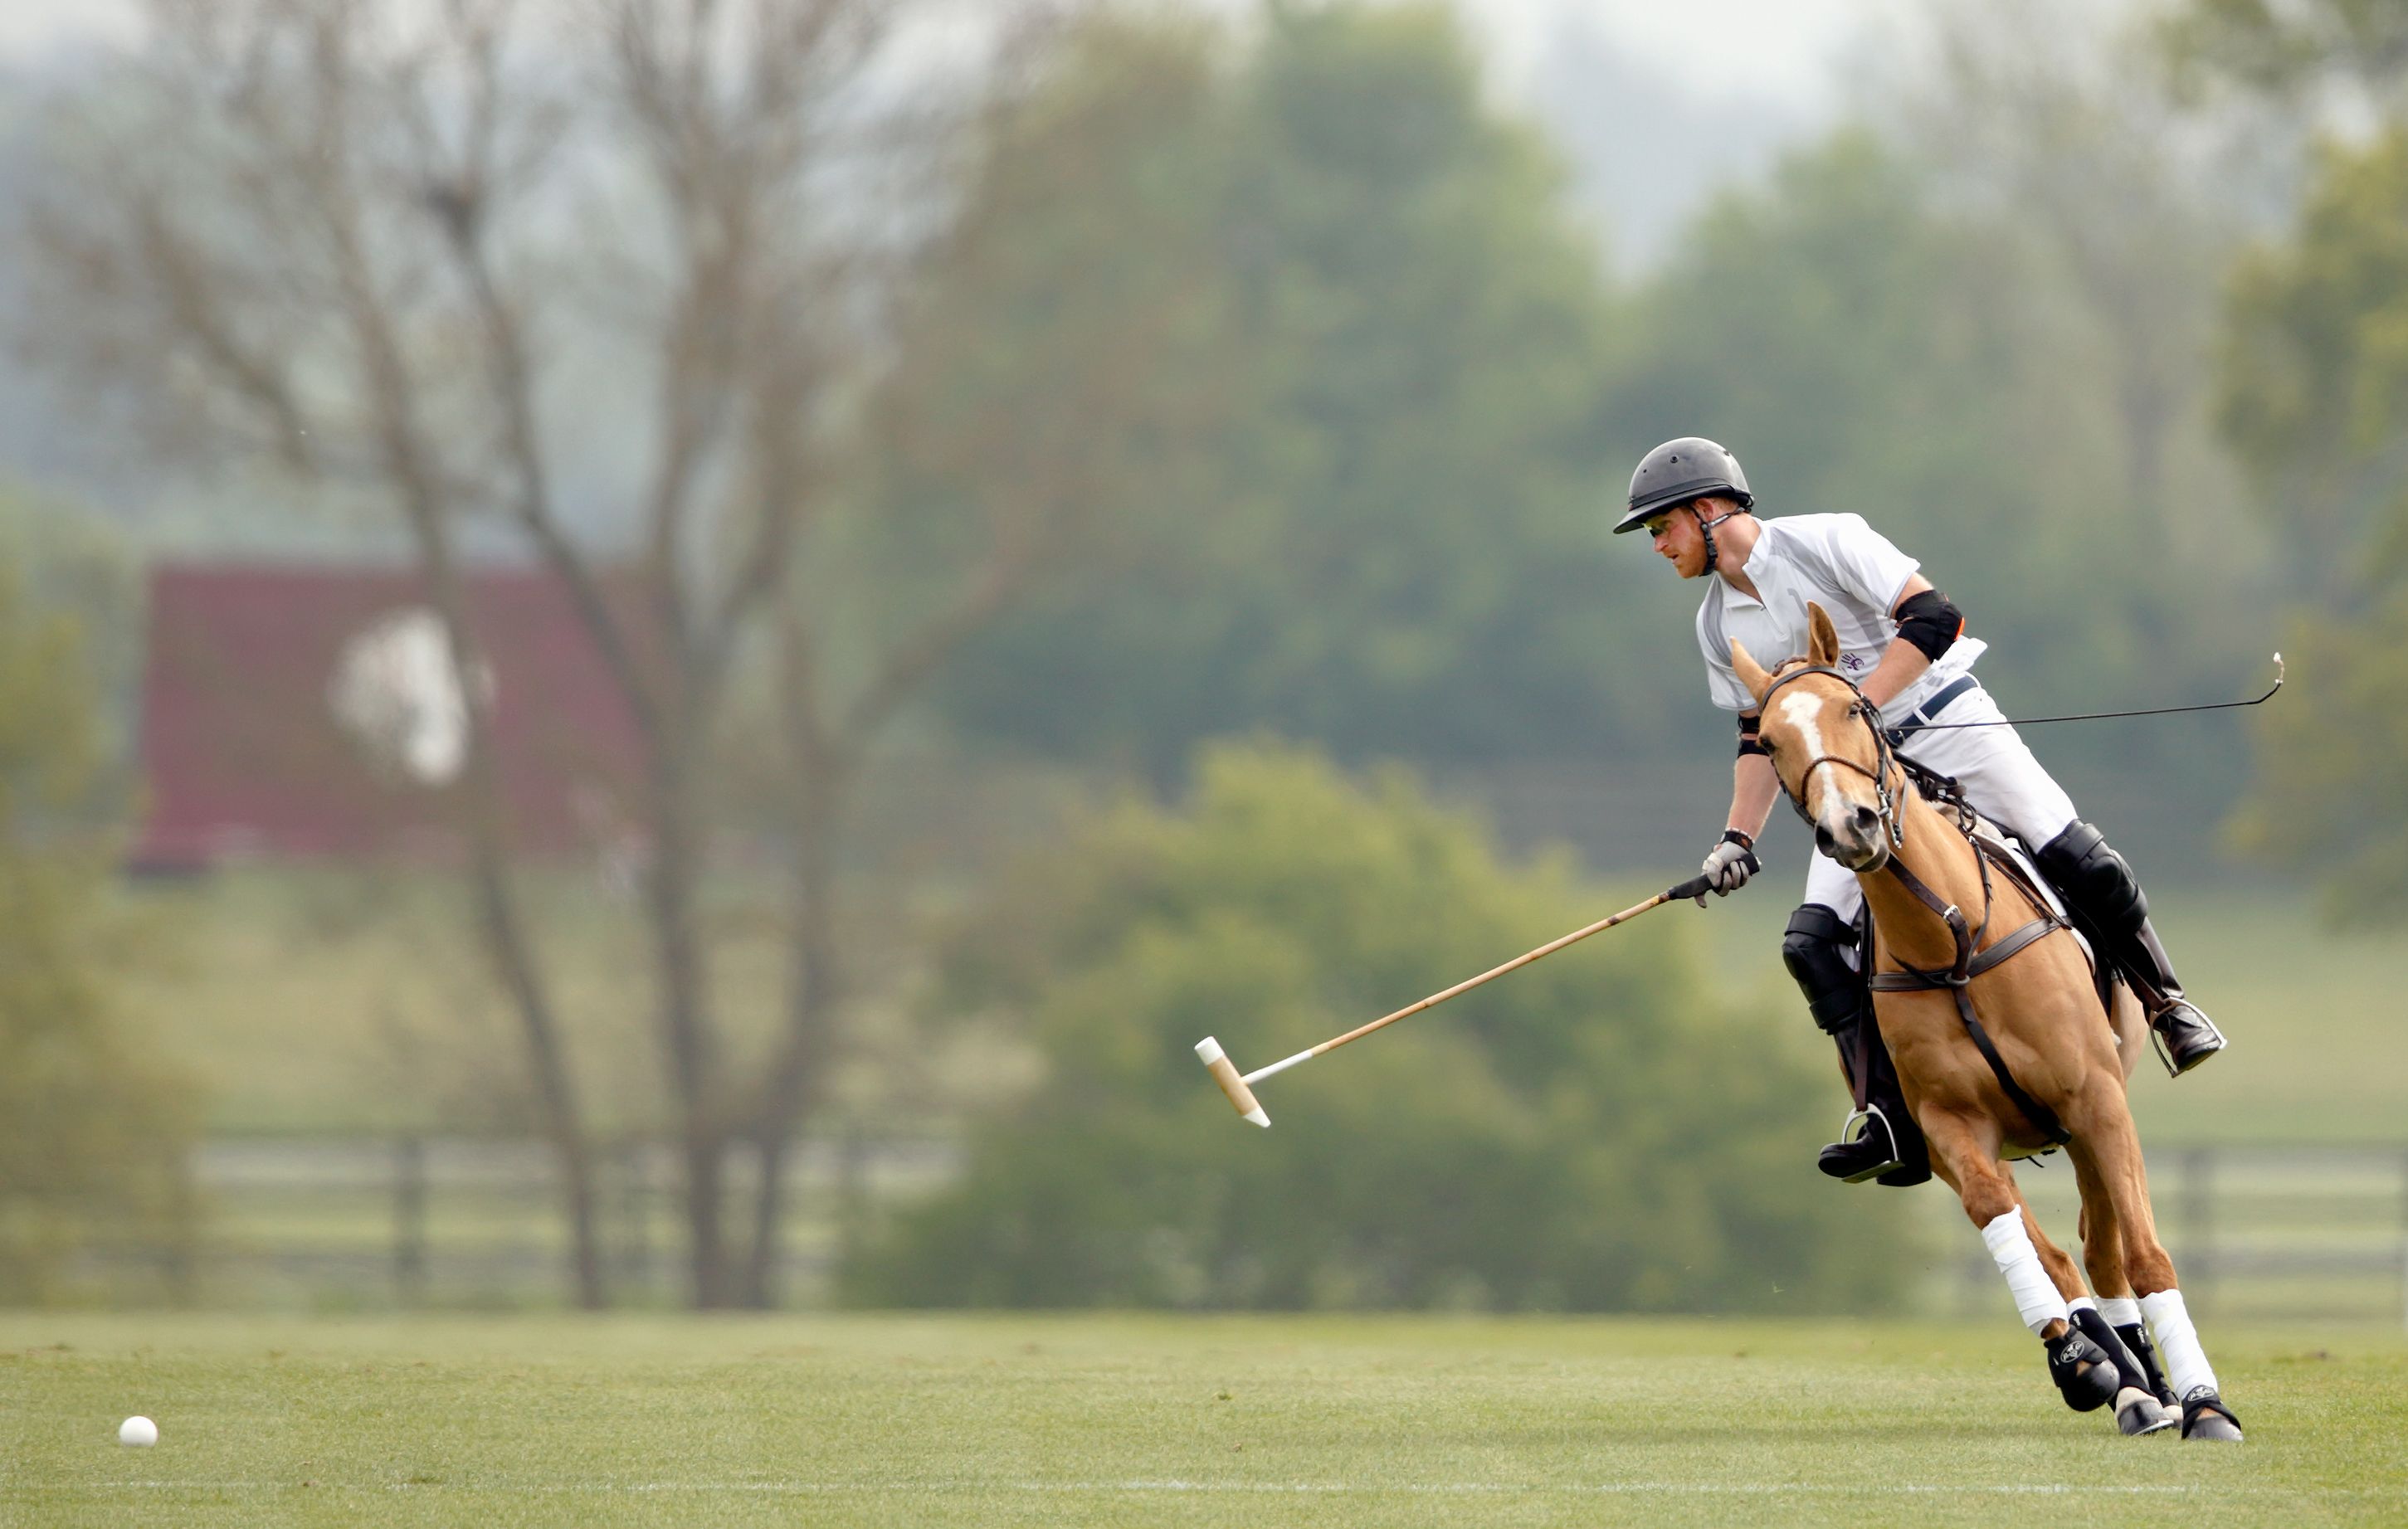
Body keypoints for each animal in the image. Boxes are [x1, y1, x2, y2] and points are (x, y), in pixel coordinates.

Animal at [1733, 604, 2235, 1444]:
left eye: (1854, 710)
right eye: (1767, 740)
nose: (1850, 827)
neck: (1955, 940)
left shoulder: (2096, 1099)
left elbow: (2146, 1254)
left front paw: (2206, 1405)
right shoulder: (1950, 1128)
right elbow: (2020, 1238)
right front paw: (2085, 1365)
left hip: (2093, 1111)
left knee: (2109, 1248)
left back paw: (2158, 1385)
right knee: (2075, 1257)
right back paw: (2126, 1380)